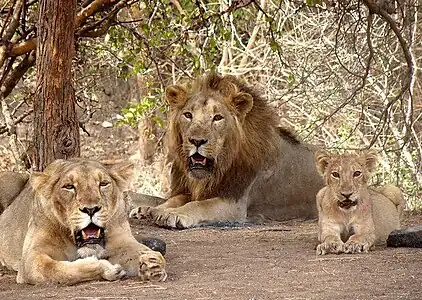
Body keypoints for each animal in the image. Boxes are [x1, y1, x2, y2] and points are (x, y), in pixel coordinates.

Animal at [0, 158, 166, 284]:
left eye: (103, 184)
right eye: (69, 186)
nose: (91, 209)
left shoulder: (123, 241)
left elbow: (143, 252)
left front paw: (153, 263)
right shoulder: (31, 258)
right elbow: (58, 271)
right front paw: (106, 268)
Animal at [130, 72, 322, 227]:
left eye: (217, 118)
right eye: (188, 115)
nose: (196, 141)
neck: (219, 167)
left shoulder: (234, 203)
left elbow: (199, 205)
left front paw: (172, 214)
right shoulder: (191, 190)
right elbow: (174, 199)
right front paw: (150, 209)